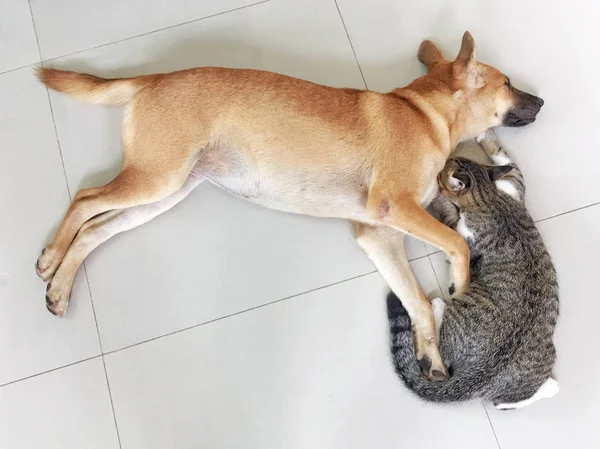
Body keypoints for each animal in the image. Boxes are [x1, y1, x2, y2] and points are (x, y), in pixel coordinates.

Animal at [36, 32, 544, 382]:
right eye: (507, 82)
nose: (542, 100)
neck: (423, 111)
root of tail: (155, 77)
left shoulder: (379, 236)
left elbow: (417, 299)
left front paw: (430, 352)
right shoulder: (393, 207)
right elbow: (457, 244)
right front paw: (460, 285)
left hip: (165, 191)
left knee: (96, 229)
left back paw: (60, 286)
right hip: (156, 178)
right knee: (84, 199)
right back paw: (50, 258)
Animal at [386, 128, 560, 408]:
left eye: (443, 168)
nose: (444, 158)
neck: (488, 197)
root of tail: (475, 378)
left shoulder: (462, 235)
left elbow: (448, 213)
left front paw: (438, 194)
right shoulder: (514, 183)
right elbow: (504, 157)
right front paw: (485, 134)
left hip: (464, 306)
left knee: (444, 352)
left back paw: (439, 306)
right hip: (543, 358)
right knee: (504, 401)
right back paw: (551, 388)